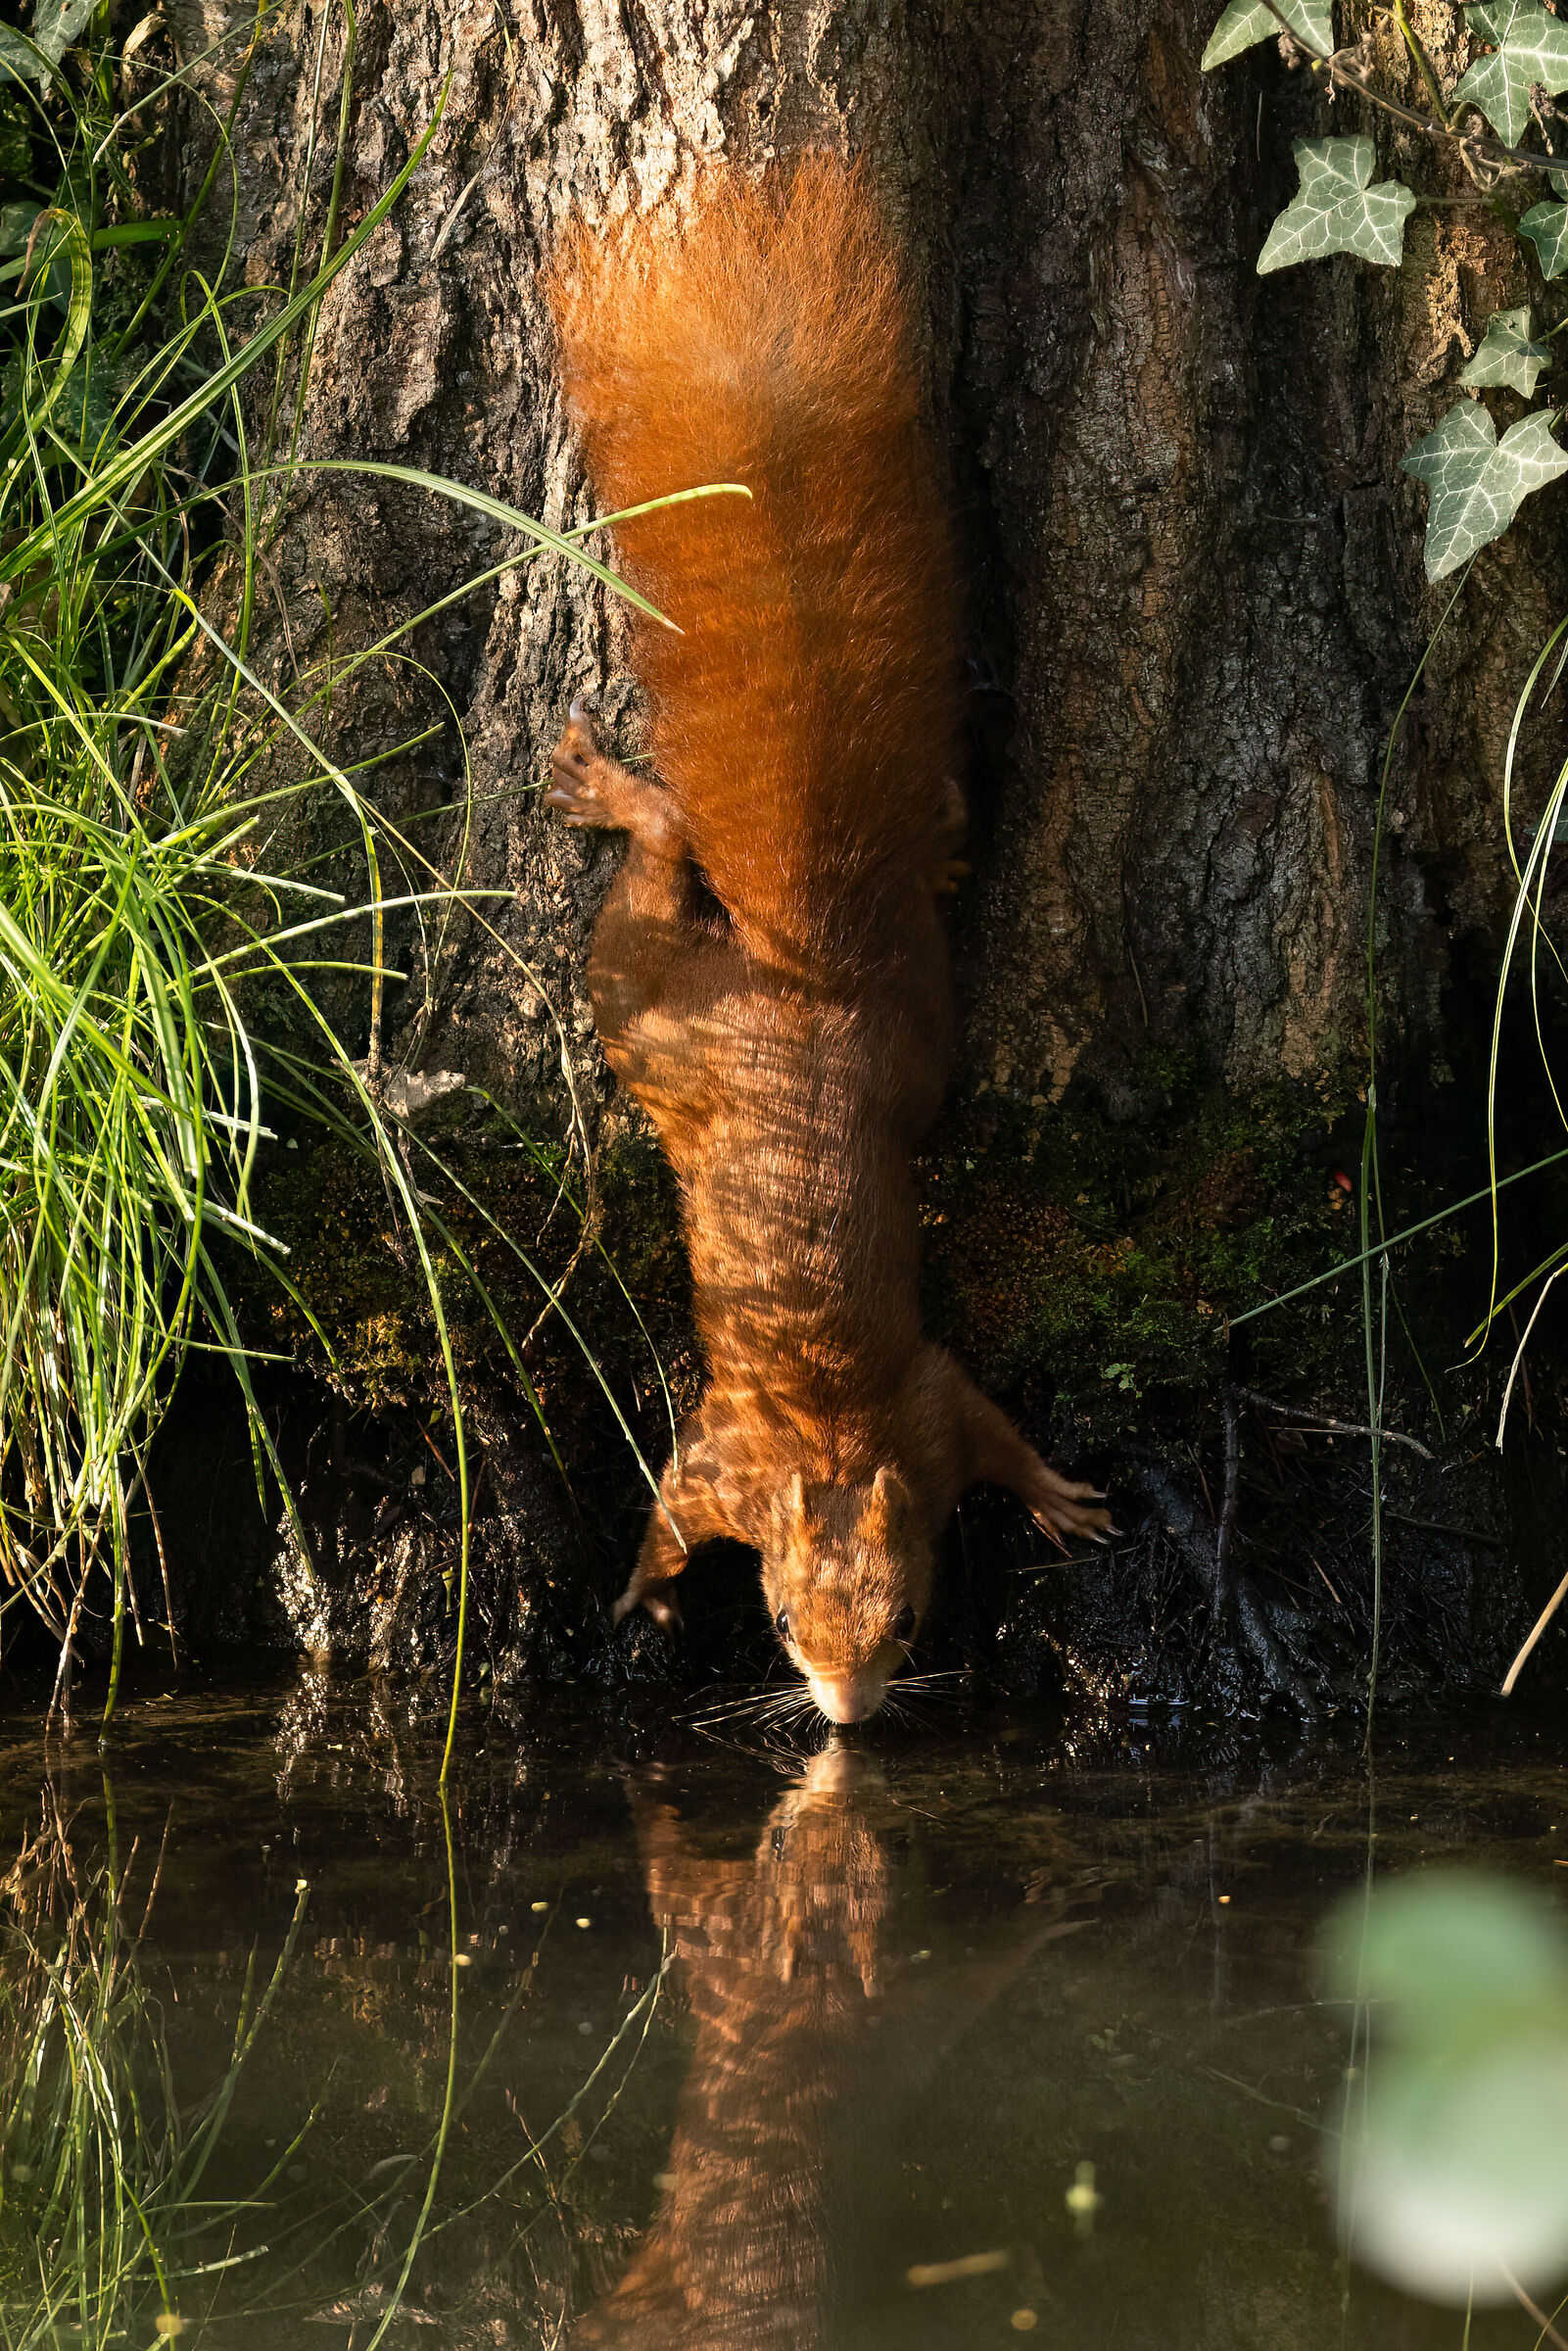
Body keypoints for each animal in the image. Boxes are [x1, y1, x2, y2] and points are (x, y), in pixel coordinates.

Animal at [543, 156, 1110, 1724]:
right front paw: (641, 1598)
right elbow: (669, 1515)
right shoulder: (737, 1460)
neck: (844, 1441)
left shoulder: (928, 1410)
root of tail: (805, 974)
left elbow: (994, 1434)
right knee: (658, 868)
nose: (847, 1722)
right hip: (662, 1006)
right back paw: (620, 791)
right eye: (787, 1624)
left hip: (870, 1025)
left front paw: (1056, 1496)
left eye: (908, 1621)